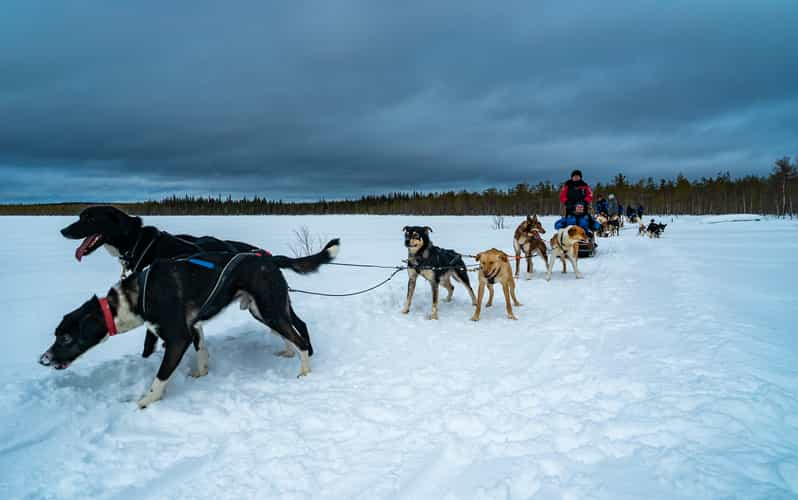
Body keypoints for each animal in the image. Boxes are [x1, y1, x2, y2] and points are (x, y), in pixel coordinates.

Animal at [40, 240, 340, 408]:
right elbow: (202, 352)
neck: (136, 298)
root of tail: (267, 257)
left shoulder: (177, 338)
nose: (43, 359)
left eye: (65, 338)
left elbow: (160, 377)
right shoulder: (193, 328)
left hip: (269, 309)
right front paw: (201, 373)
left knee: (299, 337)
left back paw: (304, 370)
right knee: (290, 331)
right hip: (263, 309)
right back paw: (289, 352)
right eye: (56, 334)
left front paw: (147, 401)